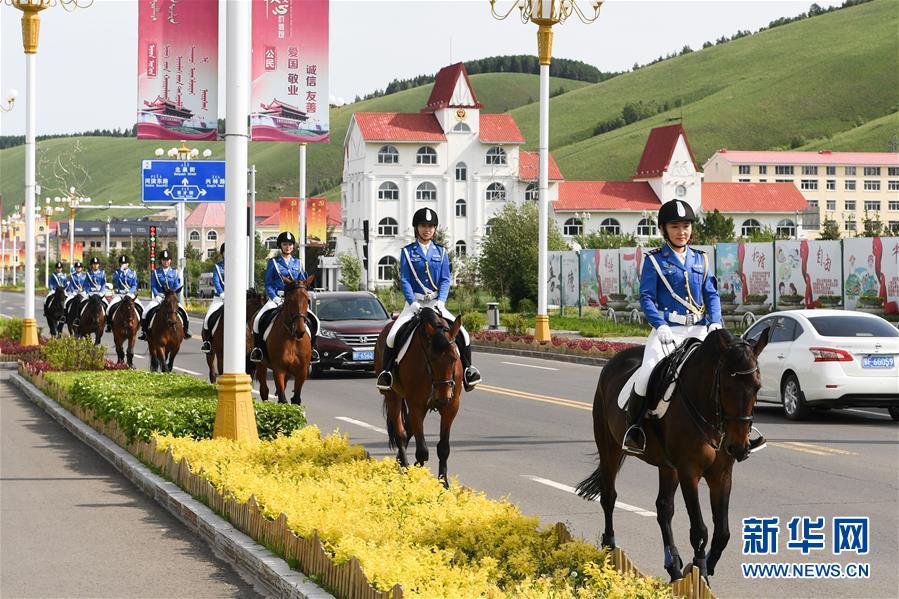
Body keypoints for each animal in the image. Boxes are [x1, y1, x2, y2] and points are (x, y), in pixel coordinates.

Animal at [256, 276, 316, 404]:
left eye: (307, 300)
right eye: (290, 300)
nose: (300, 331)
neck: (292, 337)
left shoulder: (302, 371)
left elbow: (296, 399)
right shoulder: (279, 369)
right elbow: (283, 399)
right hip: (261, 364)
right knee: (264, 390)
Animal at [374, 308, 464, 490]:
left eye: (453, 358)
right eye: (432, 359)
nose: (443, 397)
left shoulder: (451, 407)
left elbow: (443, 448)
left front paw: (444, 483)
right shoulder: (416, 406)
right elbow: (422, 450)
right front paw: (416, 477)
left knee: (408, 428)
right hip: (393, 397)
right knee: (401, 433)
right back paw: (404, 465)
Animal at [580, 328, 768, 584]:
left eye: (757, 387)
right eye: (726, 386)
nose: (738, 447)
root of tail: (613, 361)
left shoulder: (721, 474)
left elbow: (722, 533)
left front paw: (705, 568)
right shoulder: (689, 472)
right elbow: (699, 528)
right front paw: (700, 574)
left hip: (668, 466)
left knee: (664, 507)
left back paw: (674, 566)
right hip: (610, 447)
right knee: (609, 496)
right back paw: (610, 549)